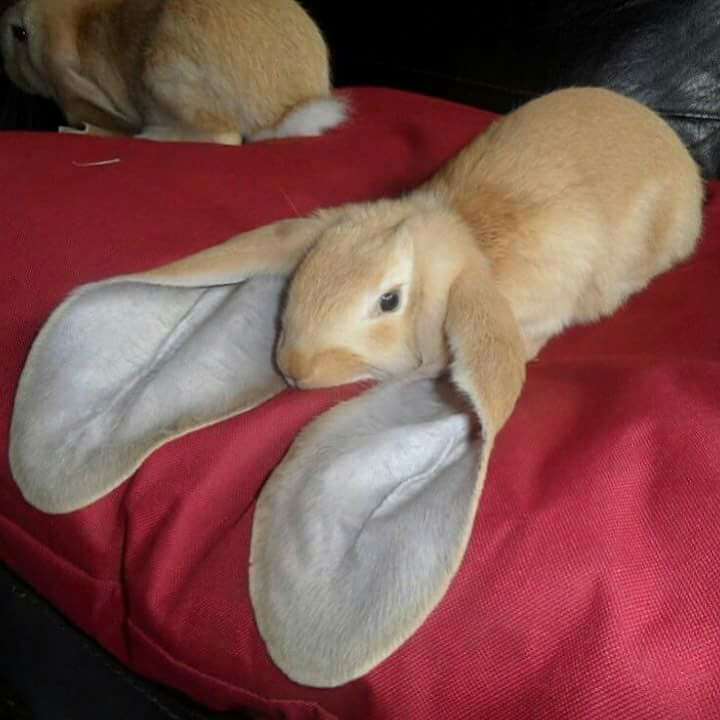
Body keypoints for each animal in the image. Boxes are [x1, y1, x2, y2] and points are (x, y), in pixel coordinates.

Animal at [0, 0, 346, 144]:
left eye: (20, 33)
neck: (76, 22)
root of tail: (288, 109)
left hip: (164, 71)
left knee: (226, 137)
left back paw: (153, 136)